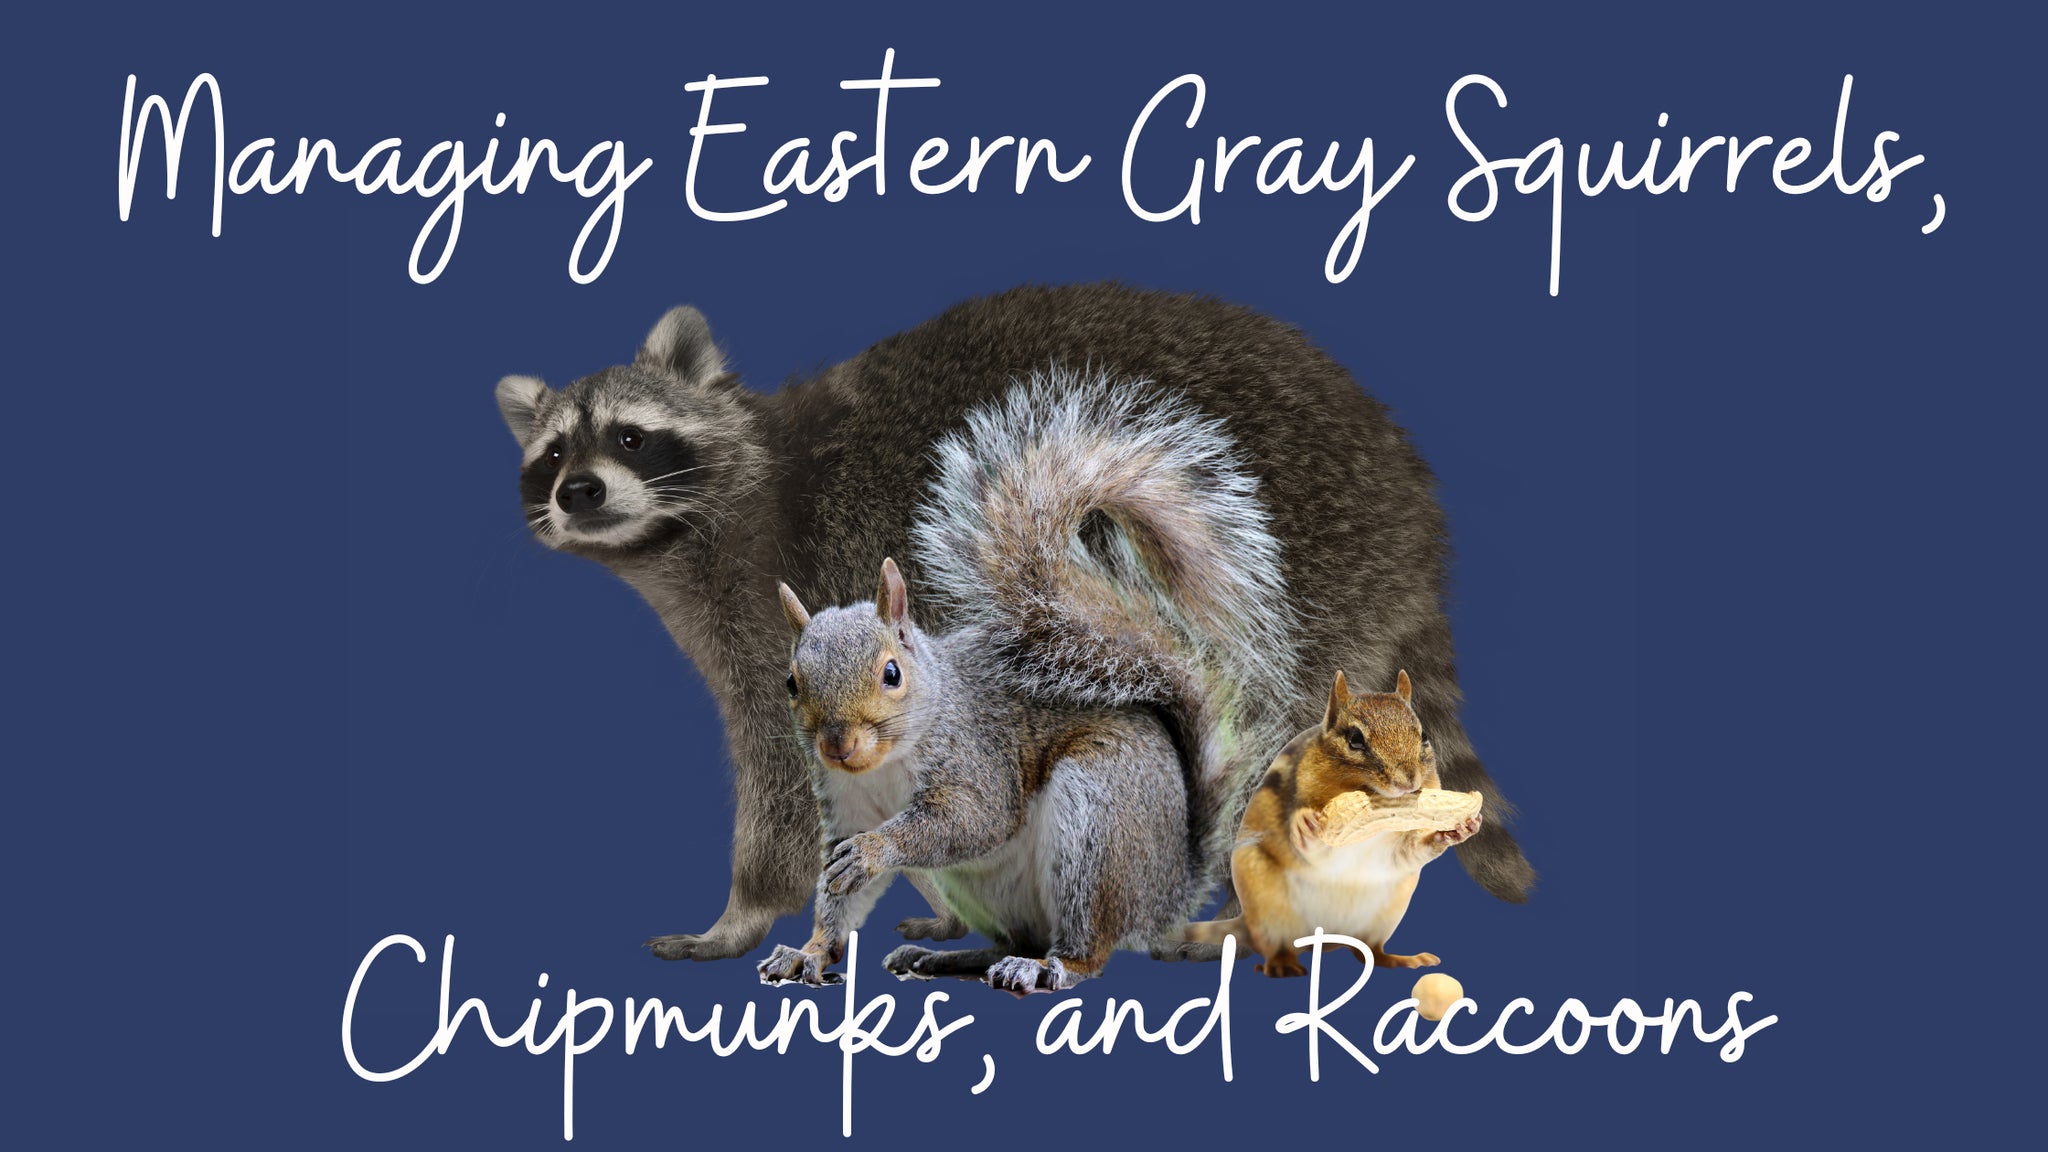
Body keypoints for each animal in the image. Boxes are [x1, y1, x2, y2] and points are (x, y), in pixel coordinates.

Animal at [757, 381, 1297, 993]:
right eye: (791, 682)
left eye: (891, 673)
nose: (837, 745)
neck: (887, 762)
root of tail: (1164, 892)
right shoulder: (844, 808)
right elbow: (838, 897)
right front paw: (808, 951)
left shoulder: (975, 757)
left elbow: (972, 820)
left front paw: (876, 851)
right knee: (1013, 938)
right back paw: (947, 957)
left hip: (1097, 819)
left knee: (1086, 947)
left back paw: (1045, 967)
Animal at [1181, 670, 1480, 977]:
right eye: (1355, 739)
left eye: (1424, 736)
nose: (1407, 782)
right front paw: (1304, 823)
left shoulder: (1399, 851)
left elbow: (1414, 851)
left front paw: (1461, 829)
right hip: (1267, 908)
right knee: (1276, 946)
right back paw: (1282, 964)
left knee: (1370, 953)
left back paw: (1399, 959)